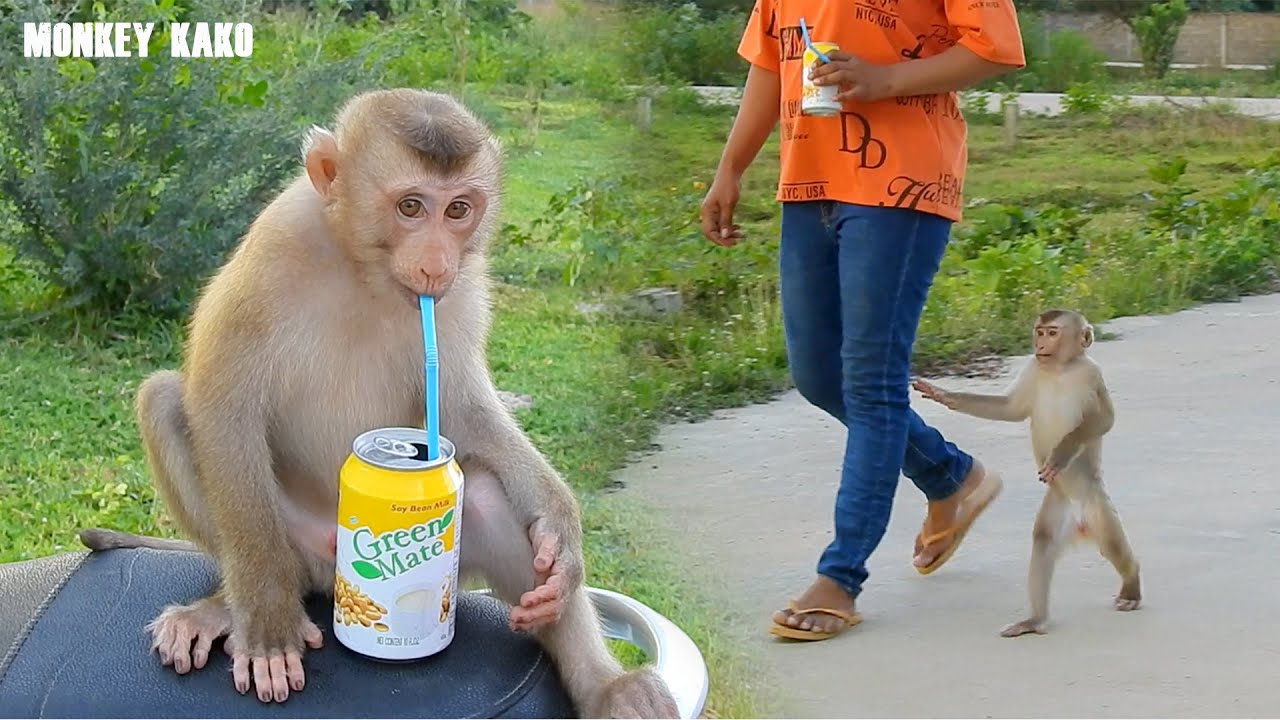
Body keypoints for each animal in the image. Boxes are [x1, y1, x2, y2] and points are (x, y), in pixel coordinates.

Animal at [77, 88, 679, 718]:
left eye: (458, 210)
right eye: (410, 207)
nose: (437, 263)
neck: (363, 269)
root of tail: (326, 568)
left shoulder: (466, 285)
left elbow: (463, 407)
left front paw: (559, 523)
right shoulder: (275, 241)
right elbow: (223, 403)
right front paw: (266, 624)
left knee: (487, 498)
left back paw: (604, 684)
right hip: (299, 545)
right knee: (165, 400)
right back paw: (231, 605)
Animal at [911, 309, 1140, 638]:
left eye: (1053, 332)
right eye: (1039, 331)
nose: (1040, 343)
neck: (1059, 369)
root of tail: (1081, 523)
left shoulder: (1091, 374)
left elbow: (1106, 419)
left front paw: (1063, 451)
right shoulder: (1034, 367)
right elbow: (1011, 409)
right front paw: (945, 395)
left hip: (1095, 504)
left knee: (1111, 542)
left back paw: (1131, 583)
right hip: (1058, 505)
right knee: (1043, 539)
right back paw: (1036, 620)